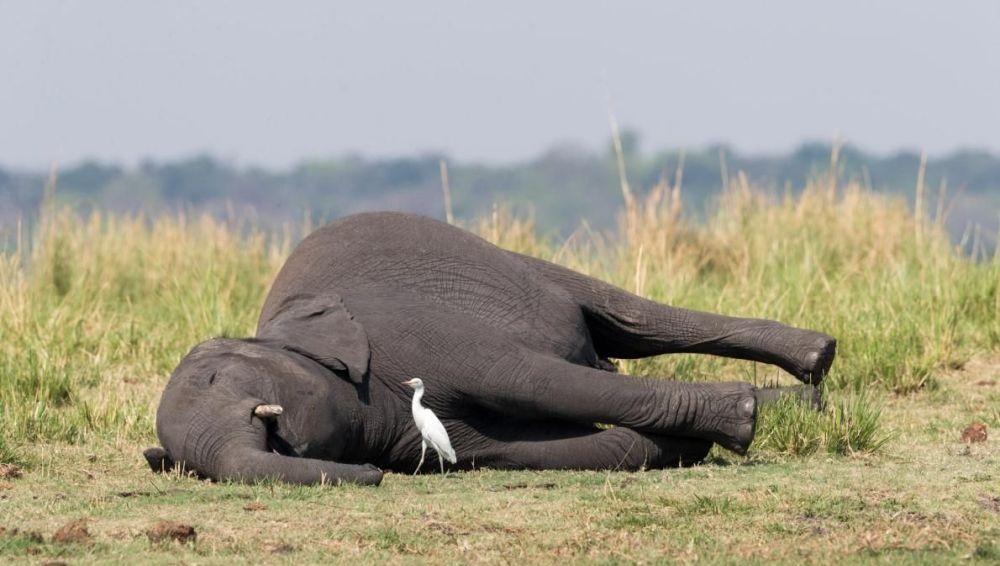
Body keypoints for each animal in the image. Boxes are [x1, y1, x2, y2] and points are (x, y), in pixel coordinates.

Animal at [145, 213, 836, 488]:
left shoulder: (411, 334)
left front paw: (738, 419)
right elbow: (547, 449)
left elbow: (531, 379)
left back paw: (817, 359)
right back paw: (808, 401)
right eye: (183, 464)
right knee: (610, 354)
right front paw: (685, 443)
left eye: (217, 380)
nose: (371, 475)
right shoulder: (417, 432)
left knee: (629, 319)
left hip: (519, 263)